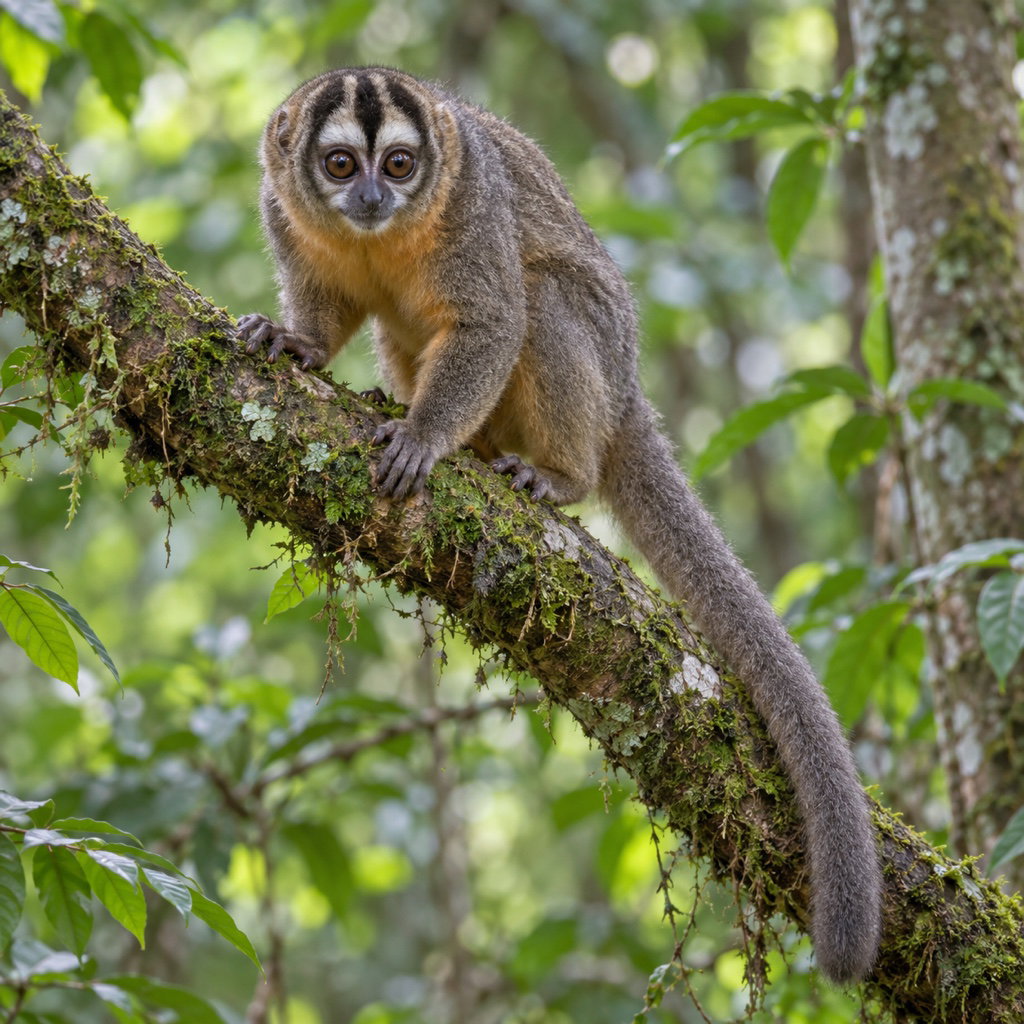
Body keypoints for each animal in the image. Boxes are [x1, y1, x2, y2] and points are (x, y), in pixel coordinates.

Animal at [236, 67, 883, 983]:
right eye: (338, 164)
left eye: (399, 164)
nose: (369, 198)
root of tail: (629, 391)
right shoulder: (279, 207)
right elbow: (325, 308)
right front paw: (295, 344)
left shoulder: (471, 204)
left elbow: (494, 320)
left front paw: (424, 438)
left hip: (603, 364)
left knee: (542, 296)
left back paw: (557, 474)